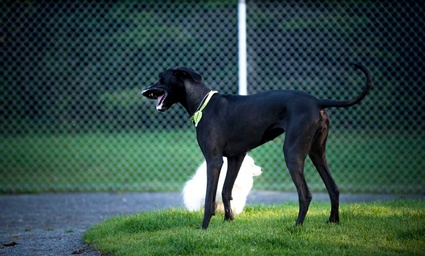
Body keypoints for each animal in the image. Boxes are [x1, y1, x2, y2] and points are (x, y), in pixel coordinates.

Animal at [142, 63, 372, 229]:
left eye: (161, 79)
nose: (145, 92)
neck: (204, 104)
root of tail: (317, 102)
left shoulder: (214, 161)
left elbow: (209, 197)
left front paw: (204, 227)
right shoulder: (236, 157)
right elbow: (226, 191)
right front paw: (229, 221)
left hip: (292, 153)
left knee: (305, 194)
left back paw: (296, 226)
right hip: (317, 153)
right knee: (334, 188)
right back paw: (333, 222)